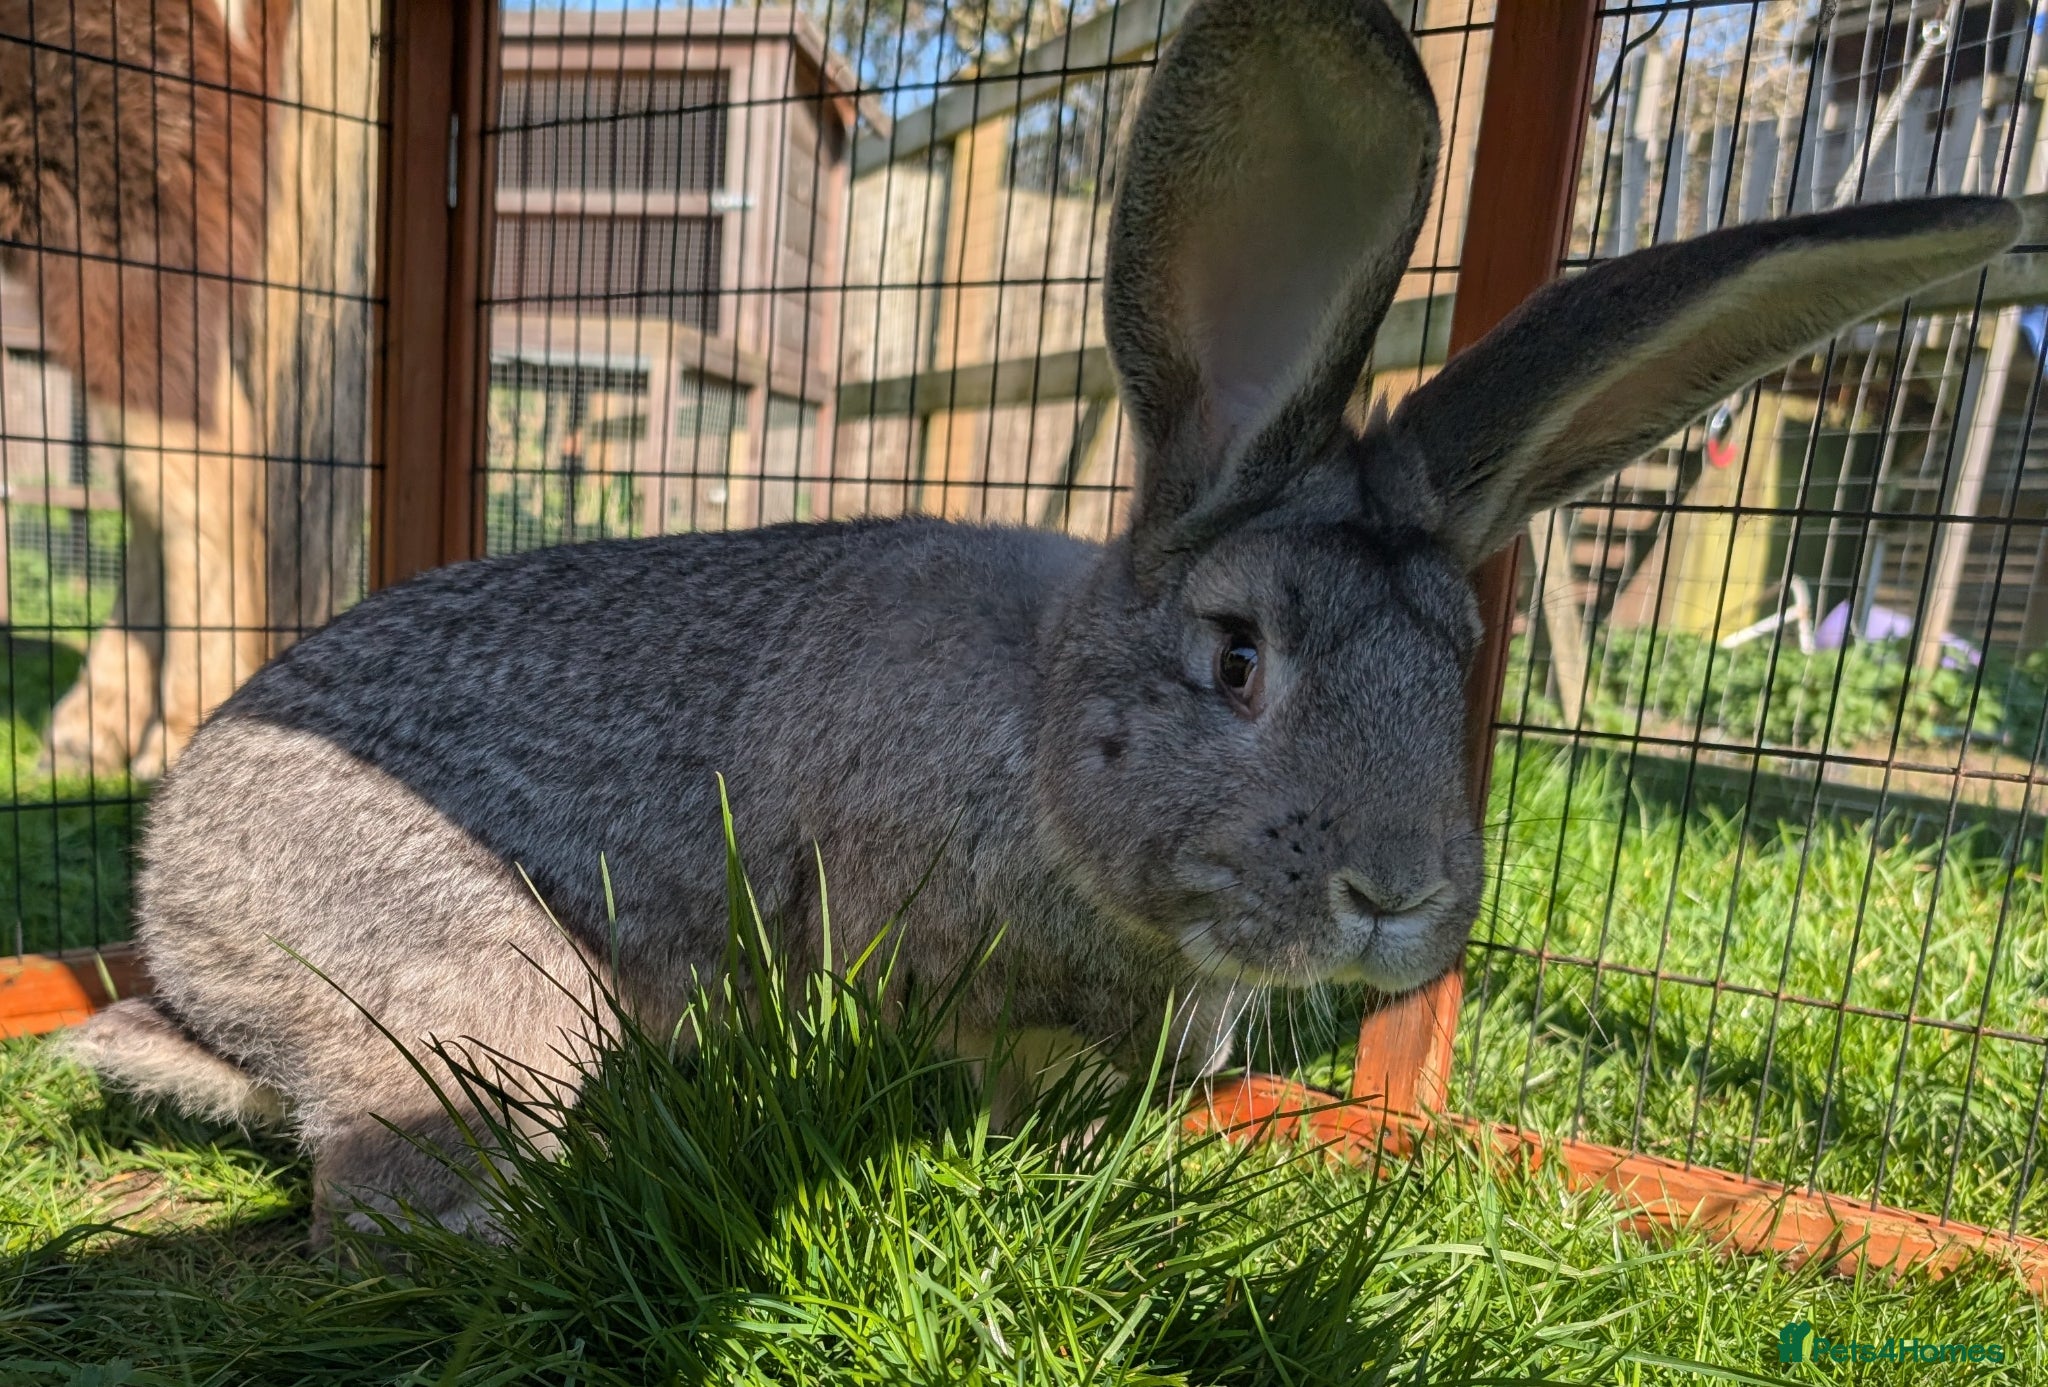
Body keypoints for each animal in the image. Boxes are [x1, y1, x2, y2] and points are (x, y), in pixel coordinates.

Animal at [65, 0, 2021, 1242]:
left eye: (1457, 670)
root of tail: (167, 883)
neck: (1038, 734)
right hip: (482, 988)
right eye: (1235, 656)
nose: (1396, 896)